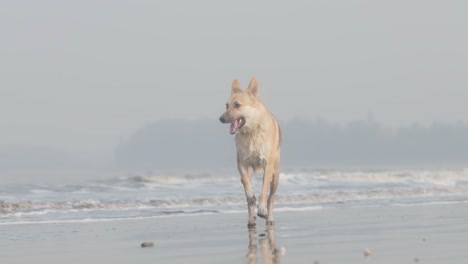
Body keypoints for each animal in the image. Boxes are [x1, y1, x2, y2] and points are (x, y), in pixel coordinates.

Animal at [219, 76, 282, 227]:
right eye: (226, 105)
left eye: (237, 105)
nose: (221, 119)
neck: (252, 131)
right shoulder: (242, 164)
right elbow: (245, 183)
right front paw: (251, 196)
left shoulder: (267, 165)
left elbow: (264, 191)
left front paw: (262, 209)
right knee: (249, 198)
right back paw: (251, 217)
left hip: (276, 176)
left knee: (271, 197)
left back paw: (269, 217)